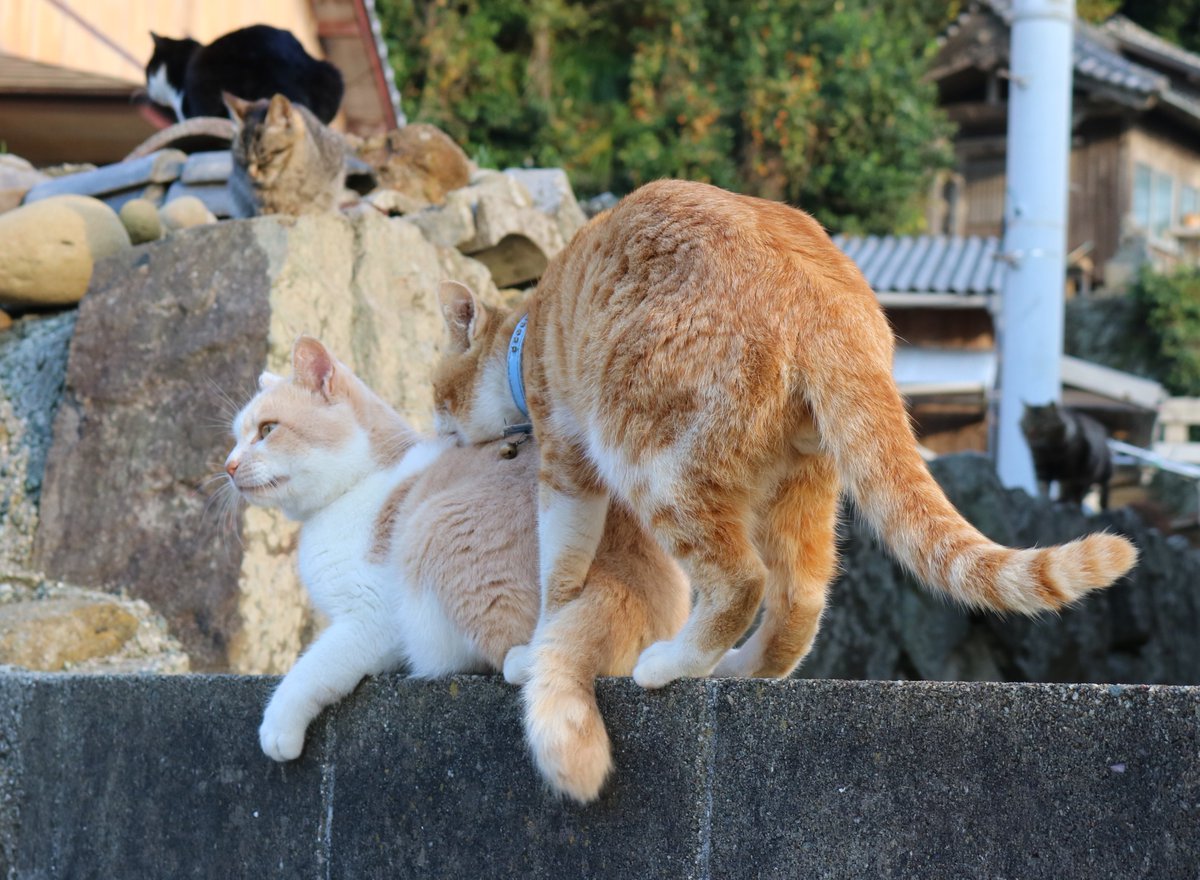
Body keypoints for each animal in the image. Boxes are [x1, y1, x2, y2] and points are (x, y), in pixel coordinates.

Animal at [223, 336, 686, 801]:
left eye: (266, 430)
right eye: (236, 438)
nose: (228, 466)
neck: (352, 490)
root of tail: (628, 576)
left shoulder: (370, 619)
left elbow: (311, 668)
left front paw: (278, 728)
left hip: (437, 527)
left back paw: (517, 659)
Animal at [436, 178, 1137, 691]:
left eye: (435, 389)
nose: (437, 426)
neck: (528, 331)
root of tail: (825, 301)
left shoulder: (568, 462)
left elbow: (560, 570)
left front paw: (532, 651)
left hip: (650, 459)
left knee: (742, 580)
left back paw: (671, 664)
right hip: (803, 479)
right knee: (799, 599)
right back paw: (740, 669)